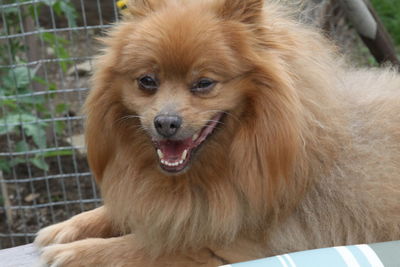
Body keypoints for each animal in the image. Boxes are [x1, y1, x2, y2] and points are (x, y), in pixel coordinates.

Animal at [34, 0, 400, 266]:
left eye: (204, 84)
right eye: (147, 81)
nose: (165, 122)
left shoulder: (232, 248)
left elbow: (144, 248)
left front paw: (79, 253)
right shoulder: (181, 209)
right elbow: (129, 209)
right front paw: (69, 228)